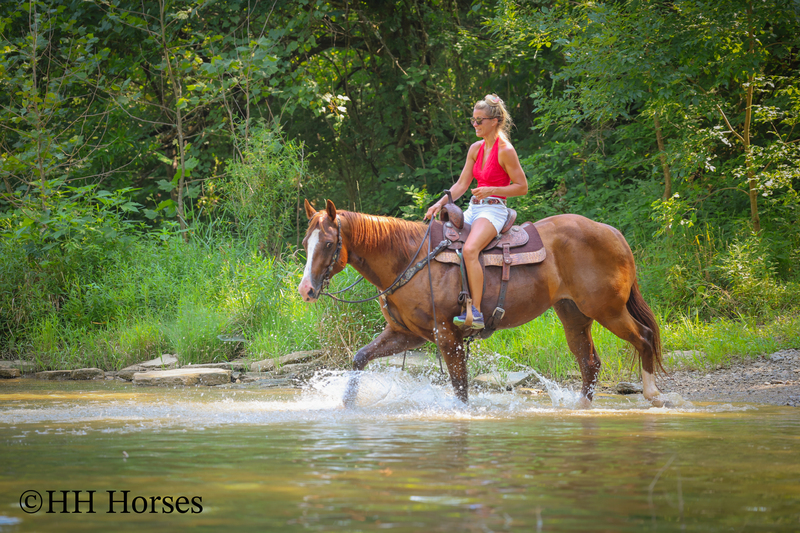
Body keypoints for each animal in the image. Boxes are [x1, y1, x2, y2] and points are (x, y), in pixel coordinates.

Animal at [298, 199, 666, 408]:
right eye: (305, 242)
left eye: (328, 243)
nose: (306, 289)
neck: (410, 258)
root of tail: (612, 233)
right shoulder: (407, 334)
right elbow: (360, 357)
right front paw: (347, 405)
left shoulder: (446, 334)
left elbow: (460, 388)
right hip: (574, 315)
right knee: (589, 363)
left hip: (608, 310)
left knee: (644, 337)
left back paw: (652, 394)